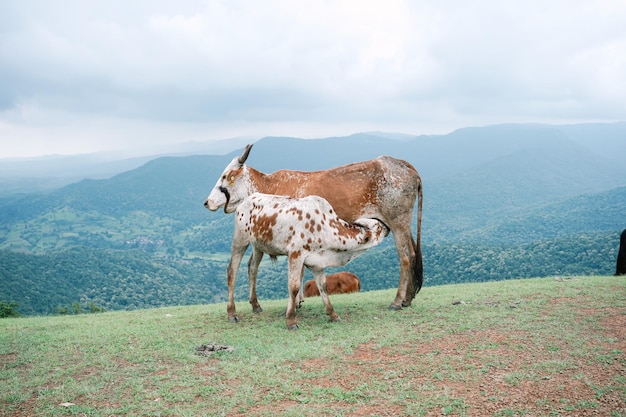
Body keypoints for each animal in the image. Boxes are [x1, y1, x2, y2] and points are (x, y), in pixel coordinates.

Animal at [204, 143, 420, 308]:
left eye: (226, 176)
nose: (207, 202)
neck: (268, 186)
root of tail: (402, 164)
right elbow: (259, 267)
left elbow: (296, 271)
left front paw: (296, 302)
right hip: (403, 224)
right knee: (413, 254)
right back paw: (407, 299)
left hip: (398, 223)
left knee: (405, 258)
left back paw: (397, 301)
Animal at [228, 192, 386, 328]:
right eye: (378, 227)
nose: (386, 226)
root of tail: (248, 198)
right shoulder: (295, 255)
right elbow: (294, 287)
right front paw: (291, 320)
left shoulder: (317, 263)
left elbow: (323, 286)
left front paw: (333, 314)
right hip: (240, 240)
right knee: (232, 271)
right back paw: (232, 313)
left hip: (258, 246)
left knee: (252, 268)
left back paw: (256, 305)